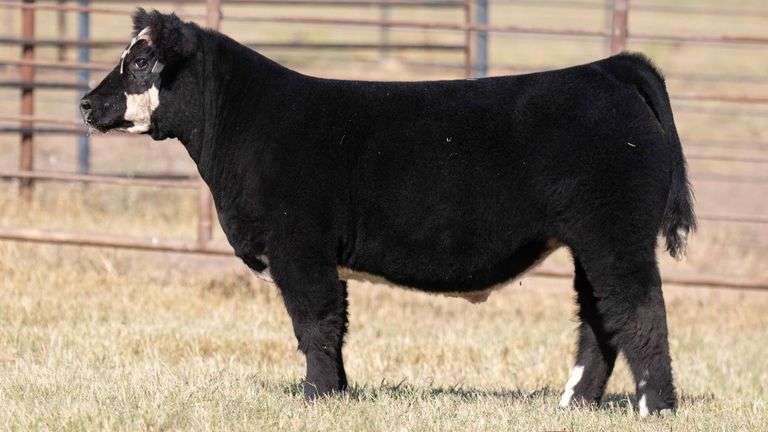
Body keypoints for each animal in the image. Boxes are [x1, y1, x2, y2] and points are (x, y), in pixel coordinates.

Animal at [80, 9, 695, 416]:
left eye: (141, 60)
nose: (86, 103)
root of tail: (605, 70)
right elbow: (334, 324)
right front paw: (337, 392)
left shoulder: (299, 248)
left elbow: (315, 323)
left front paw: (316, 397)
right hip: (588, 243)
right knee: (600, 317)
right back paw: (574, 404)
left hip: (615, 236)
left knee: (639, 312)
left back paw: (656, 408)